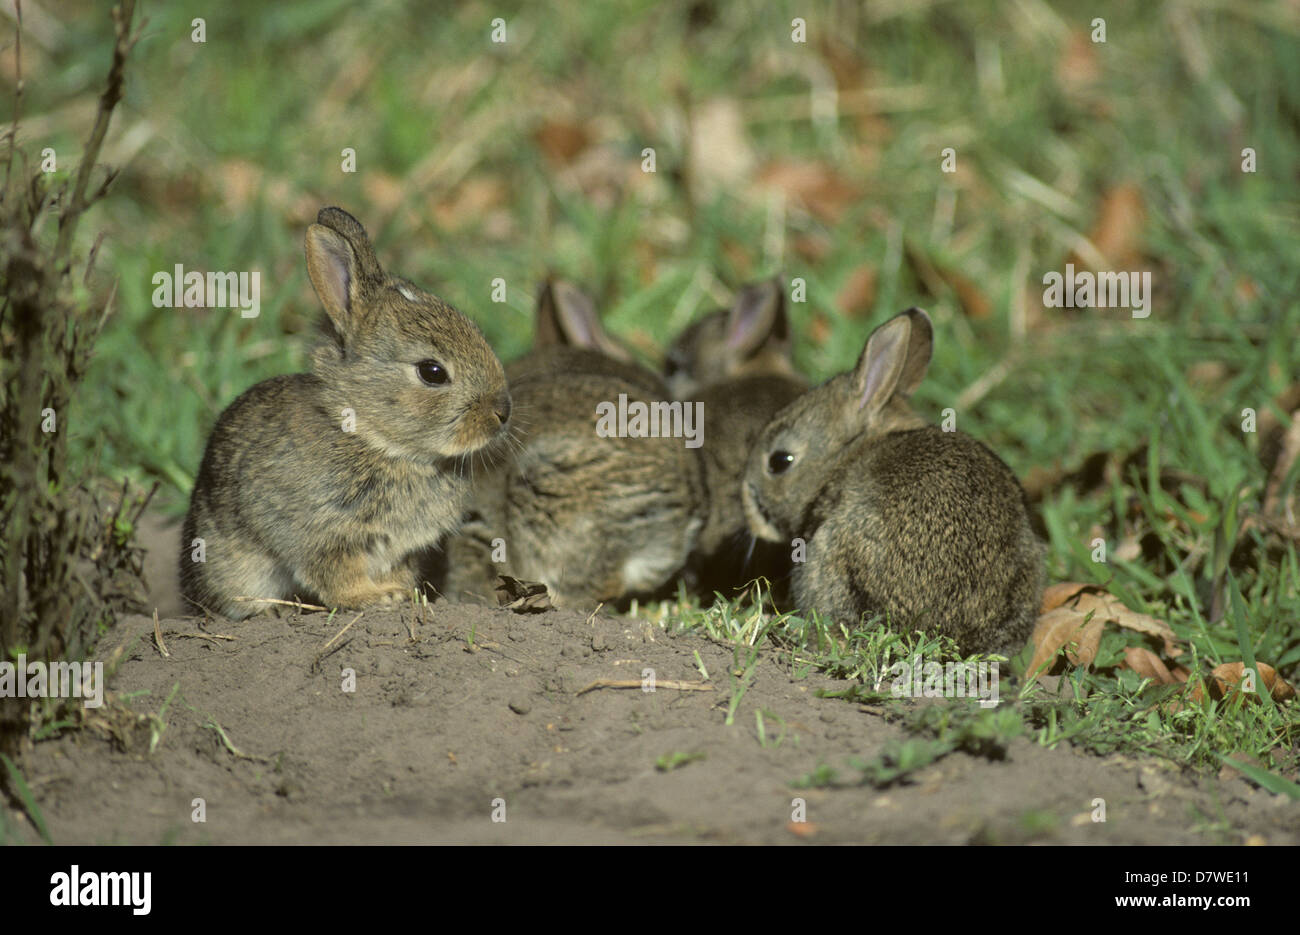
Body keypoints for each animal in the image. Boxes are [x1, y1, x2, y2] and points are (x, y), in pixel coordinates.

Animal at [179, 208, 512, 624]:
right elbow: (335, 574)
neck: (371, 438)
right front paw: (375, 599)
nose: (503, 412)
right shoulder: (326, 536)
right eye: (432, 372)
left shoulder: (398, 549)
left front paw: (402, 595)